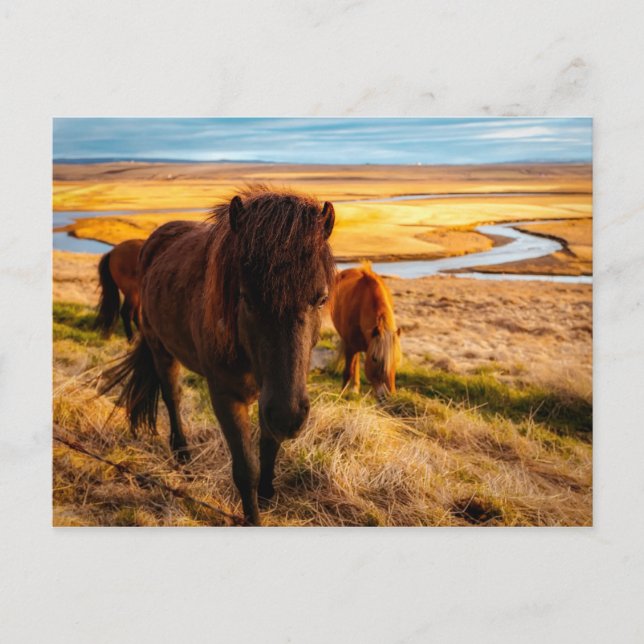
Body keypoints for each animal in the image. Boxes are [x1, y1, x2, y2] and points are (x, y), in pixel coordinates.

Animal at [101, 187, 335, 525]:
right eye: (246, 297)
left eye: (321, 298)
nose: (288, 417)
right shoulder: (227, 397)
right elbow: (246, 469)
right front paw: (253, 518)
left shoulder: (273, 396)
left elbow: (269, 445)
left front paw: (267, 494)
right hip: (161, 349)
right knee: (172, 396)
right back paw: (182, 452)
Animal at [330, 263, 401, 399]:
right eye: (374, 359)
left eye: (396, 359)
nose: (389, 396)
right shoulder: (350, 347)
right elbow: (348, 372)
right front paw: (340, 396)